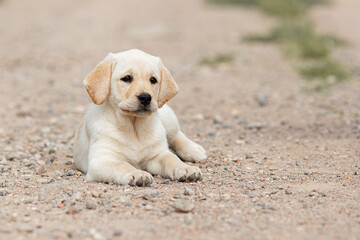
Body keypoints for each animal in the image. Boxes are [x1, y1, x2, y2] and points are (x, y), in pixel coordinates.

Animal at [73, 48, 207, 187]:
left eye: (153, 80)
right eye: (127, 78)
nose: (146, 97)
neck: (134, 126)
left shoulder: (157, 154)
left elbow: (171, 158)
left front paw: (185, 168)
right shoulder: (101, 160)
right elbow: (122, 165)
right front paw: (137, 173)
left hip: (168, 119)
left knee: (176, 135)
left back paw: (194, 150)